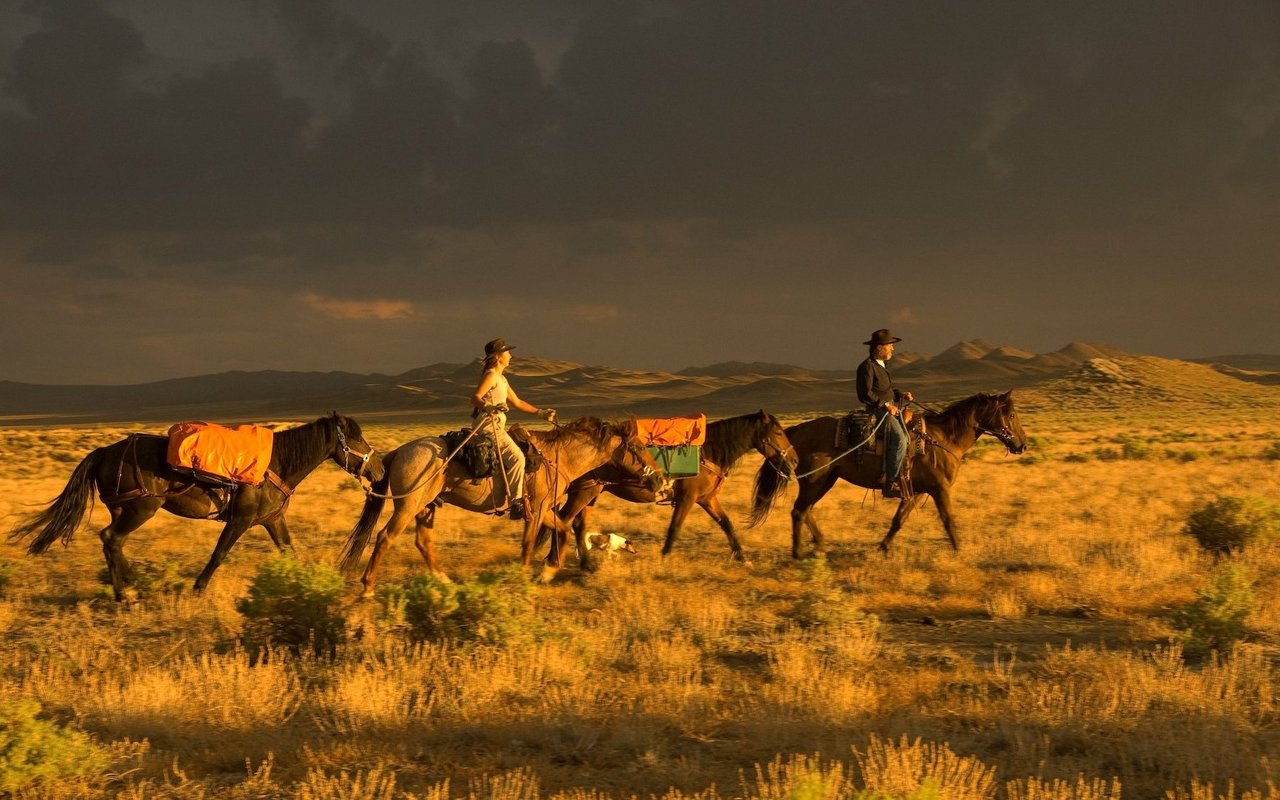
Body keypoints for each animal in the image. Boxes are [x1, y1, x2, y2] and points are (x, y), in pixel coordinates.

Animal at [8, 412, 378, 599]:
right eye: (357, 438)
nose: (377, 470)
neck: (276, 464)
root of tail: (103, 453)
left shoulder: (272, 521)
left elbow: (290, 552)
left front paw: (306, 585)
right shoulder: (240, 520)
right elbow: (219, 553)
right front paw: (198, 589)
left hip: (125, 509)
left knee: (112, 541)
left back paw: (128, 586)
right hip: (142, 509)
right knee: (112, 539)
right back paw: (127, 592)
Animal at [337, 414, 660, 588]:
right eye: (638, 447)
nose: (660, 481)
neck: (556, 458)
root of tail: (399, 451)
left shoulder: (544, 510)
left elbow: (564, 530)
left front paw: (548, 571)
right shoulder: (535, 510)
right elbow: (529, 544)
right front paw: (524, 577)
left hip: (426, 507)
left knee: (423, 542)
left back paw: (443, 580)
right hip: (408, 505)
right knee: (385, 537)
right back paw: (367, 586)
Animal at [545, 412, 793, 568]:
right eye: (779, 433)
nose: (794, 460)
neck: (708, 452)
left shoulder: (706, 499)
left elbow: (727, 524)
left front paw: (743, 558)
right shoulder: (687, 499)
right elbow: (674, 528)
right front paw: (664, 558)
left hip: (592, 494)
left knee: (578, 523)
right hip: (584, 492)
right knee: (564, 519)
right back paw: (554, 559)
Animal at [747, 391, 1029, 555]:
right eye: (1012, 414)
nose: (1022, 445)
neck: (944, 438)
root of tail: (795, 431)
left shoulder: (915, 491)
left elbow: (898, 520)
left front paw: (883, 548)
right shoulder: (939, 489)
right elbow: (948, 520)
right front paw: (960, 551)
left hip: (826, 480)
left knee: (806, 511)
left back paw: (820, 544)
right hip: (814, 481)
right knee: (799, 511)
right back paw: (798, 553)